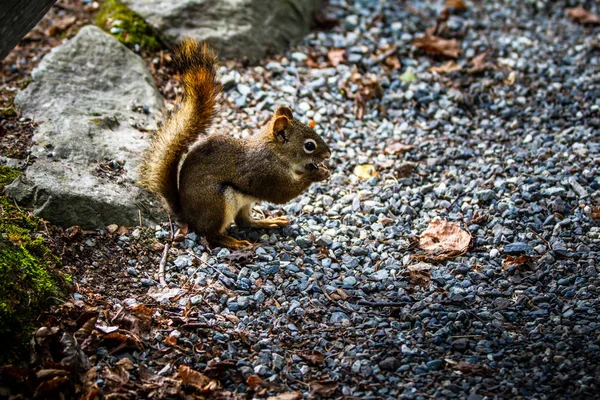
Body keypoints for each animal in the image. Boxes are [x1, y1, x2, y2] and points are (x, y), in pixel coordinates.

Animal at [139, 39, 332, 248]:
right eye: (309, 145)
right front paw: (318, 174)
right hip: (218, 202)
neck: (276, 152)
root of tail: (188, 215)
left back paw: (266, 221)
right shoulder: (267, 174)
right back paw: (233, 242)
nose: (328, 155)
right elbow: (282, 194)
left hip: (244, 202)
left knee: (243, 221)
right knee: (210, 234)